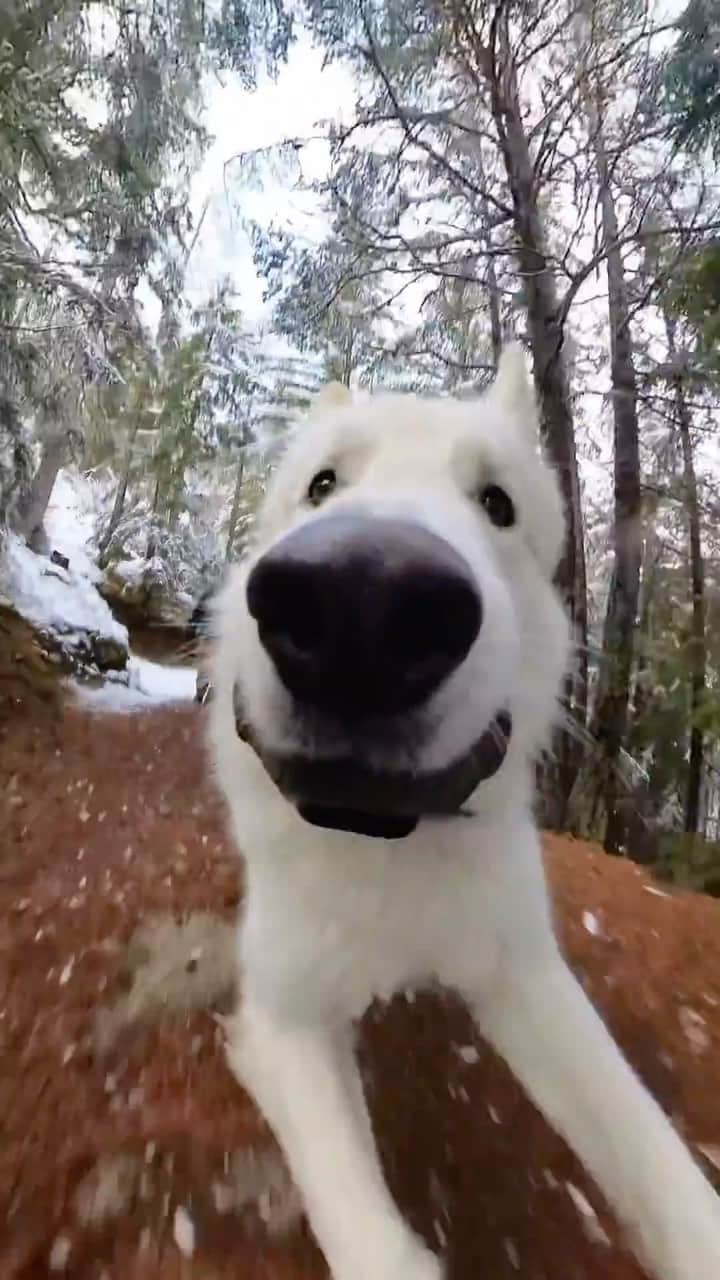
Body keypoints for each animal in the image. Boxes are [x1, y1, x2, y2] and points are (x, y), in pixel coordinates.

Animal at [207, 348, 717, 1280]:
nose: (362, 605)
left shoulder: (524, 969)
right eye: (322, 484)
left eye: (498, 504)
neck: (387, 847)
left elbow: (662, 1166)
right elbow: (373, 1239)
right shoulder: (285, 1018)